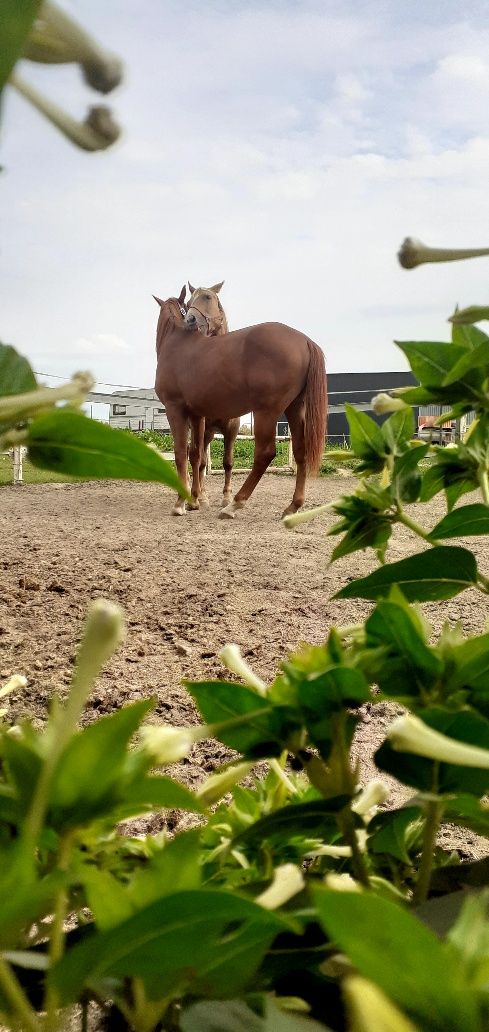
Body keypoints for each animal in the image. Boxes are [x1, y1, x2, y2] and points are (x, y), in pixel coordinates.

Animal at [154, 288, 326, 516]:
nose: (193, 319)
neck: (176, 342)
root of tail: (305, 341)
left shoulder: (174, 409)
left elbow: (180, 452)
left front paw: (180, 502)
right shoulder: (197, 415)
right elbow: (196, 455)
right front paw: (195, 500)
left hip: (267, 411)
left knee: (265, 453)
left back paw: (235, 503)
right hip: (295, 408)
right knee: (300, 451)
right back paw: (292, 506)